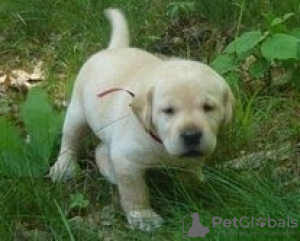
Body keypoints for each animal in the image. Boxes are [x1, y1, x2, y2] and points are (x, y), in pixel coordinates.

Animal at [49, 8, 233, 233]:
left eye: (208, 108)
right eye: (168, 111)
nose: (191, 135)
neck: (161, 143)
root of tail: (116, 48)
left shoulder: (193, 156)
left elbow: (191, 173)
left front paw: (197, 190)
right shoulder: (127, 160)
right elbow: (135, 192)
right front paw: (143, 218)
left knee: (101, 149)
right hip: (77, 113)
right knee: (71, 140)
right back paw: (64, 166)